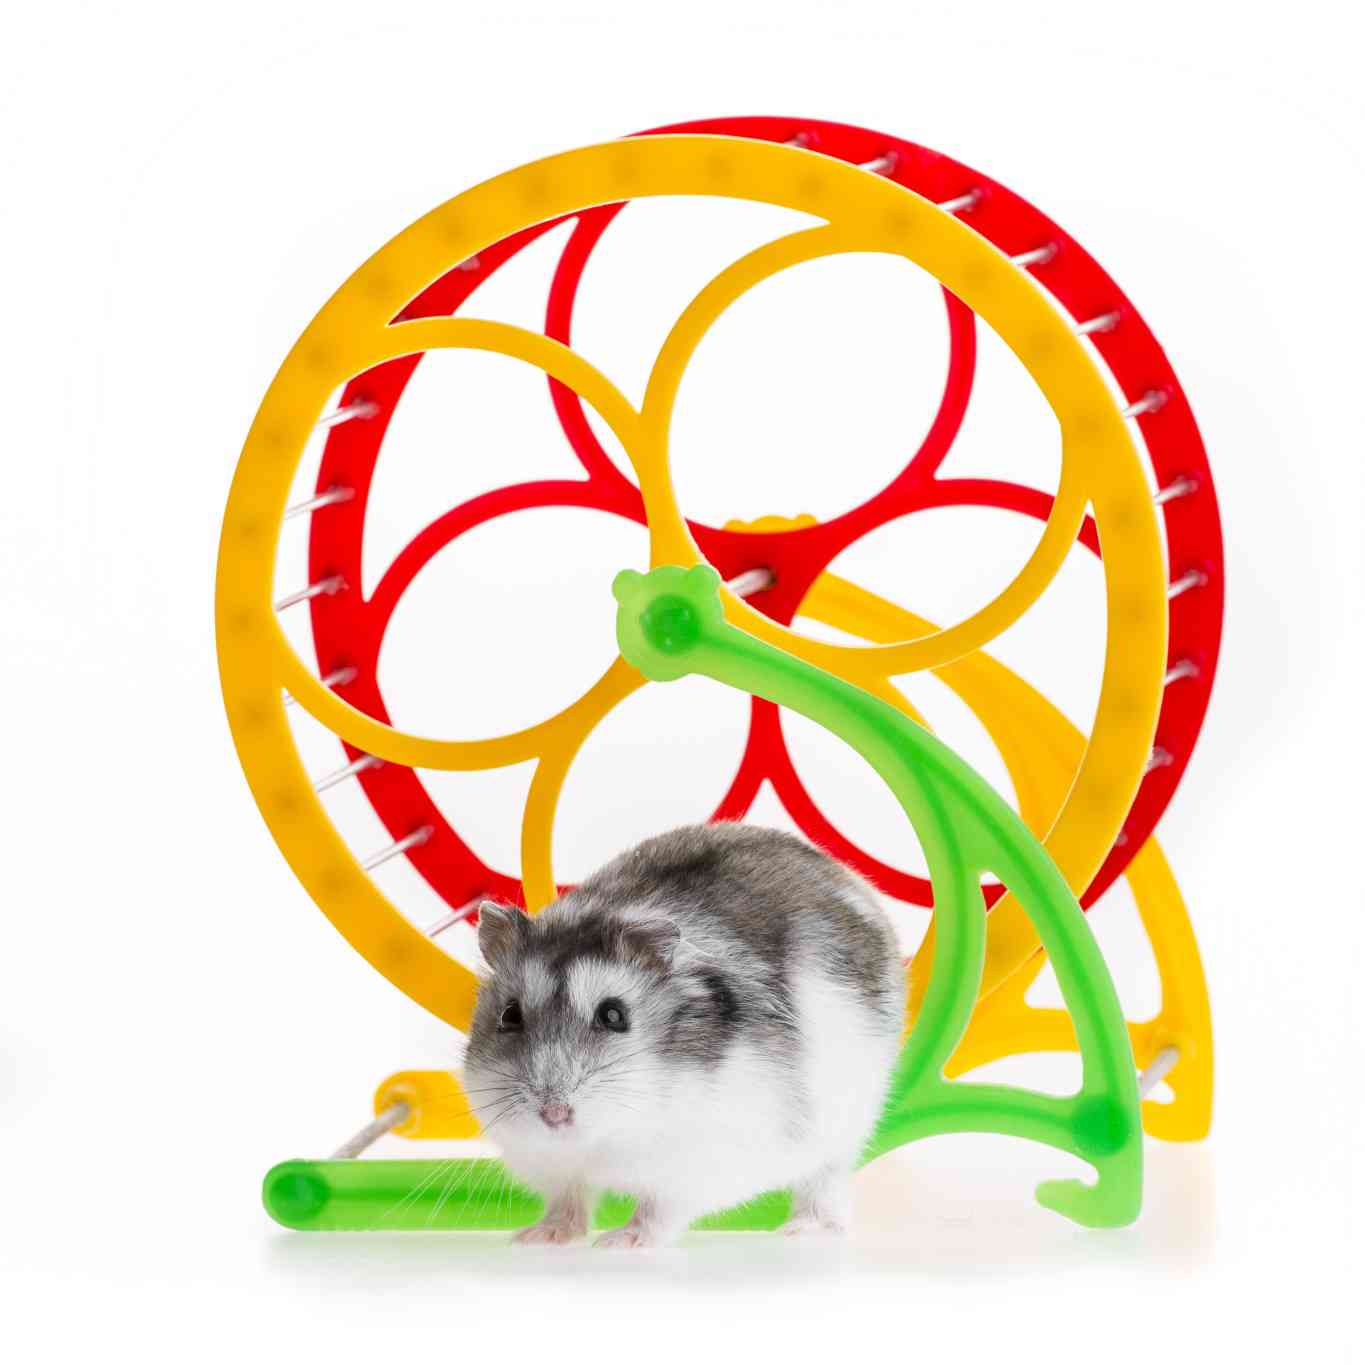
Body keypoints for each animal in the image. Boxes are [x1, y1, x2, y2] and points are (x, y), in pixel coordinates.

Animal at [462, 823, 906, 1249]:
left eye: (613, 1015)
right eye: (510, 1015)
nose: (554, 1115)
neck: (604, 1135)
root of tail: (843, 874)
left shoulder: (691, 1166)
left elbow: (657, 1210)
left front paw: (622, 1242)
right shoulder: (553, 1164)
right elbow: (567, 1199)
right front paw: (539, 1237)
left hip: (847, 1128)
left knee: (824, 1180)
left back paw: (802, 1230)